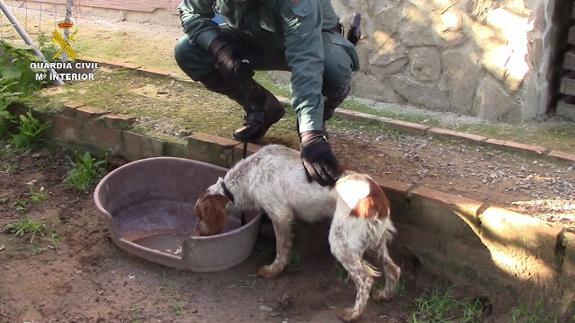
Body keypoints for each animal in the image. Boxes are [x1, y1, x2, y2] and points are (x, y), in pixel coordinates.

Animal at [194, 146, 400, 322]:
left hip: (341, 242)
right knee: (393, 269)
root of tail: (377, 196)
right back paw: (385, 295)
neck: (249, 174)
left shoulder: (280, 215)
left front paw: (273, 271)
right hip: (375, 242)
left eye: (199, 215)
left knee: (365, 279)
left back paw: (353, 314)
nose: (196, 235)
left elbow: (281, 250)